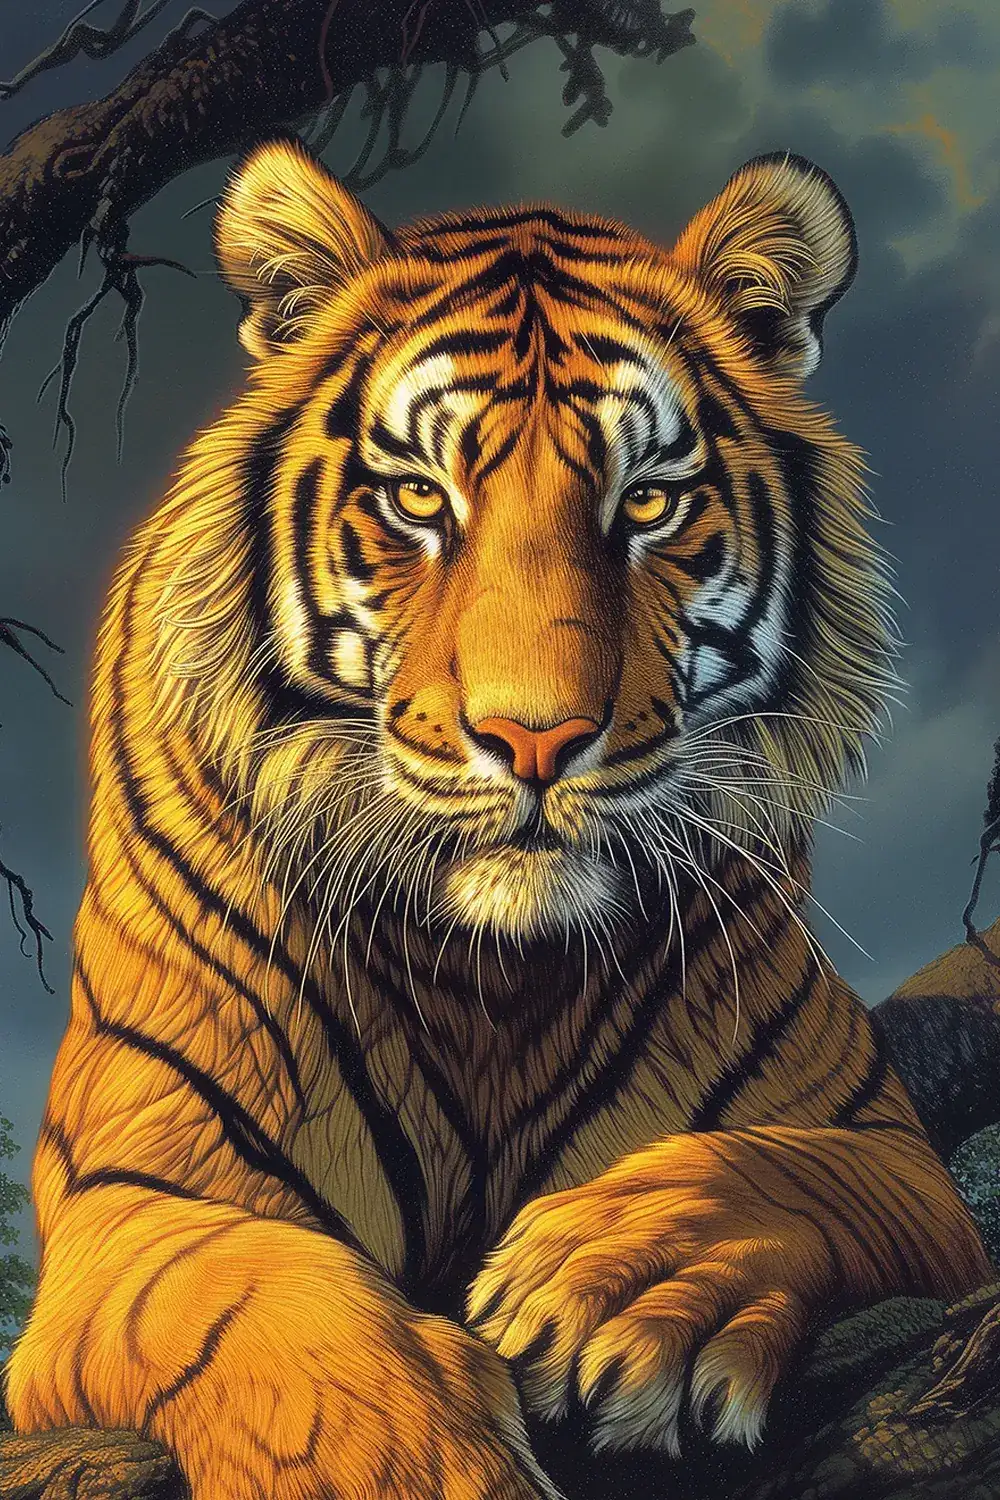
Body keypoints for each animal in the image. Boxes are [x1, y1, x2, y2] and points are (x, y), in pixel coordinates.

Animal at [5, 139, 989, 1500]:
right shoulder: (132, 1196)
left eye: (646, 505)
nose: (534, 740)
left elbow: (775, 1167)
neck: (492, 985)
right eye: (420, 499)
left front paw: (611, 1276)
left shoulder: (886, 1153)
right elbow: (257, 1299)